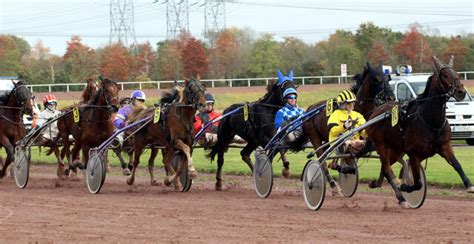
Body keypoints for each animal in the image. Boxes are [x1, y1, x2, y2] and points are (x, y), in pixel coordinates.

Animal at [366, 55, 470, 208]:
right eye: (445, 75)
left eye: (456, 73)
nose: (461, 92)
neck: (430, 121)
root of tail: (375, 112)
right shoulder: (414, 154)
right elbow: (418, 183)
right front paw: (405, 186)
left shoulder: (444, 146)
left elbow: (457, 165)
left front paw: (469, 185)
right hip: (381, 145)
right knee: (387, 168)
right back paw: (399, 191)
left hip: (395, 149)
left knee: (385, 168)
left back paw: (379, 184)